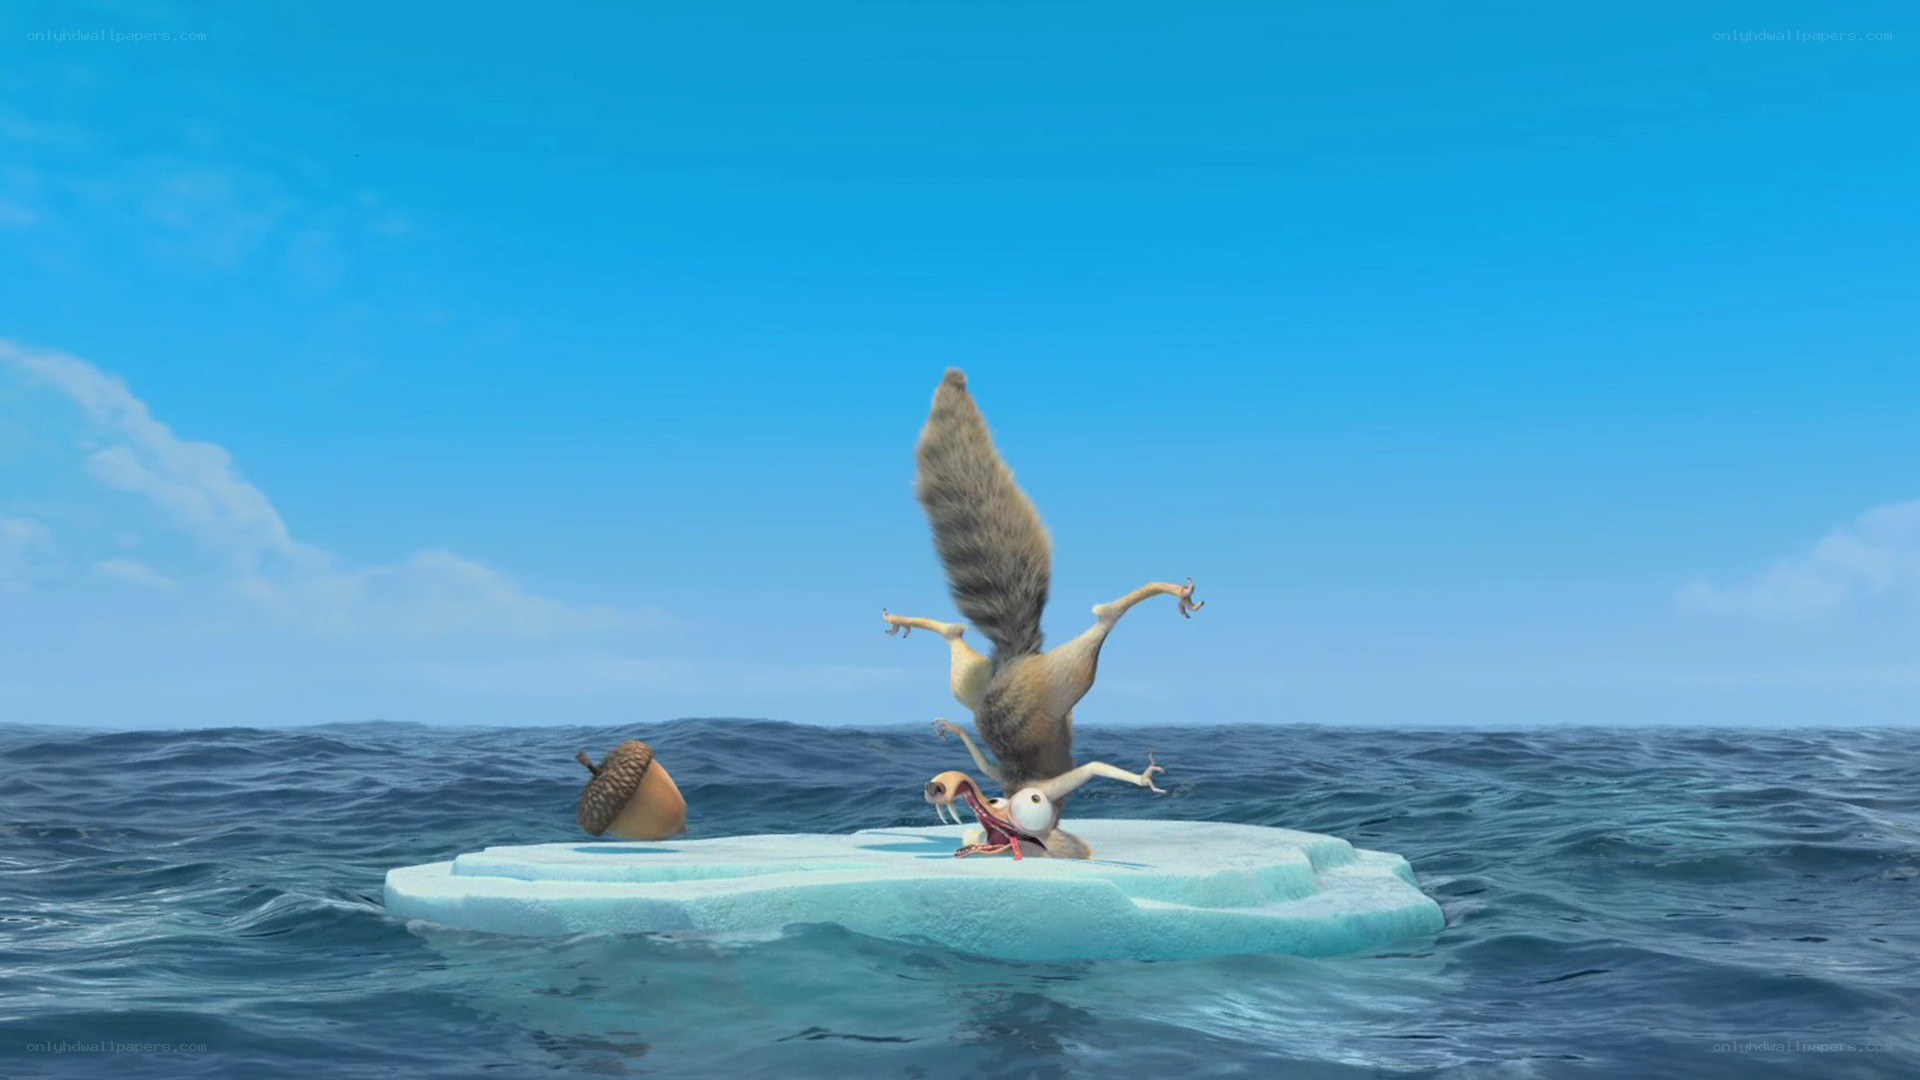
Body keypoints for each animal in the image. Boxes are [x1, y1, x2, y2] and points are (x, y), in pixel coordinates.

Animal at [885, 369, 1204, 853]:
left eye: (1027, 806)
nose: (937, 787)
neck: (1020, 785)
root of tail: (1014, 655)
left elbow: (1091, 768)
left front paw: (1141, 778)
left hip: (1040, 684)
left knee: (1098, 625)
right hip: (1021, 684)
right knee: (968, 638)